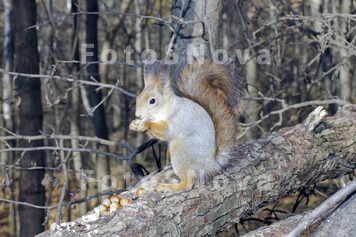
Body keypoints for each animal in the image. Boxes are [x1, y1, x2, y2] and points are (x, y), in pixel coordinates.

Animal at [129, 60, 243, 191]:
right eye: (138, 98)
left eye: (152, 101)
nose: (138, 115)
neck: (167, 108)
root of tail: (210, 164)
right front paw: (134, 124)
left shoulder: (175, 121)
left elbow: (166, 132)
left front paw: (145, 124)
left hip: (180, 150)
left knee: (188, 183)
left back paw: (169, 186)